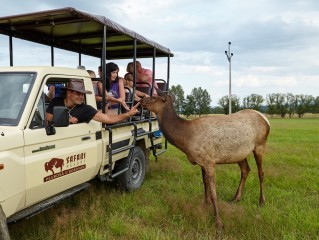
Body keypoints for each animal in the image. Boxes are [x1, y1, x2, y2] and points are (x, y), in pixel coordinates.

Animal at [140, 89, 270, 232]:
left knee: (261, 173)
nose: (140, 100)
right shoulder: (201, 162)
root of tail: (266, 119)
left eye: (154, 97)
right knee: (246, 170)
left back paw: (261, 201)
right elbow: (205, 184)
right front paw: (205, 205)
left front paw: (218, 222)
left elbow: (214, 193)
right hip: (240, 154)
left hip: (260, 145)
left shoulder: (209, 161)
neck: (186, 140)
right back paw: (236, 198)